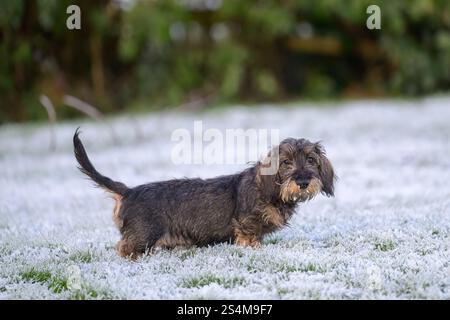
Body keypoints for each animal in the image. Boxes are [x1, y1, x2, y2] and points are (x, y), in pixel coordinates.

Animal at [73, 130, 334, 260]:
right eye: (286, 162)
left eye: (311, 159)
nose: (303, 182)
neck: (271, 191)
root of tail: (129, 191)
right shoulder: (246, 227)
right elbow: (249, 240)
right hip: (144, 234)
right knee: (124, 247)